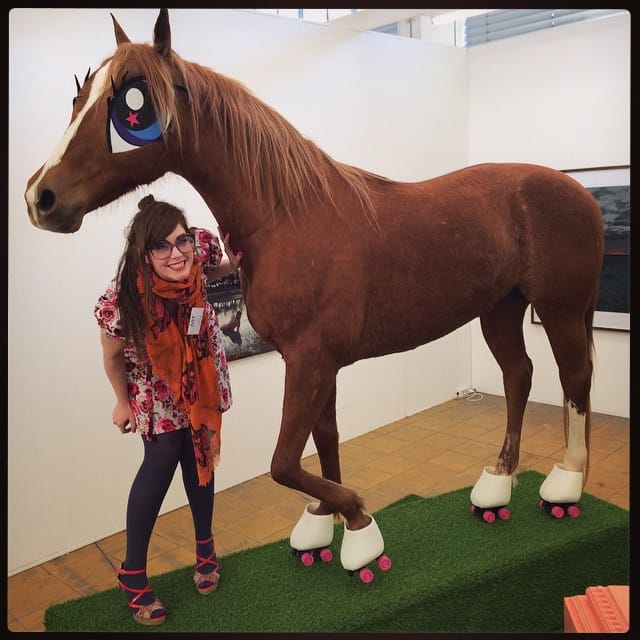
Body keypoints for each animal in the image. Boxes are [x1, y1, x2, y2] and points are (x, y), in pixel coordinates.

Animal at [25, 9, 604, 580]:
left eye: (132, 104)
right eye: (79, 95)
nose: (40, 197)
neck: (290, 215)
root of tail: (579, 192)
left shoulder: (311, 359)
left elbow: (283, 461)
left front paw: (360, 525)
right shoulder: (313, 361)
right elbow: (324, 437)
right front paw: (328, 523)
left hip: (560, 309)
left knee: (573, 377)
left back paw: (565, 483)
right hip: (499, 309)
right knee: (518, 376)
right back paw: (497, 485)